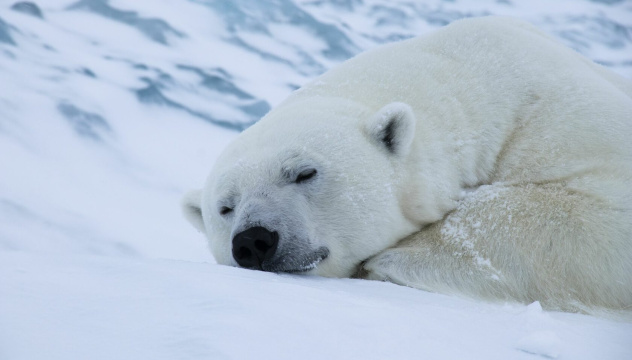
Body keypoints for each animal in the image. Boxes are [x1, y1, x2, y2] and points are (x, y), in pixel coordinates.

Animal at [184, 16, 632, 314]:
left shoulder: (561, 120)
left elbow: (598, 212)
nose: (253, 240)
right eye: (224, 207)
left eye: (304, 172)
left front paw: (387, 262)